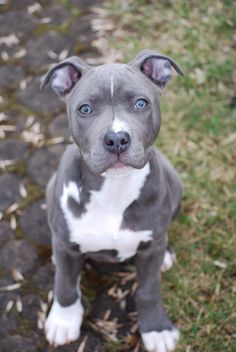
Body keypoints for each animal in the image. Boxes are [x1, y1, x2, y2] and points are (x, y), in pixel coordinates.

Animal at [41, 50, 184, 352]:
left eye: (141, 103)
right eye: (84, 109)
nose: (116, 139)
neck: (114, 190)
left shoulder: (149, 253)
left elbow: (148, 291)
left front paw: (156, 329)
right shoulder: (68, 246)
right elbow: (65, 286)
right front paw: (63, 321)